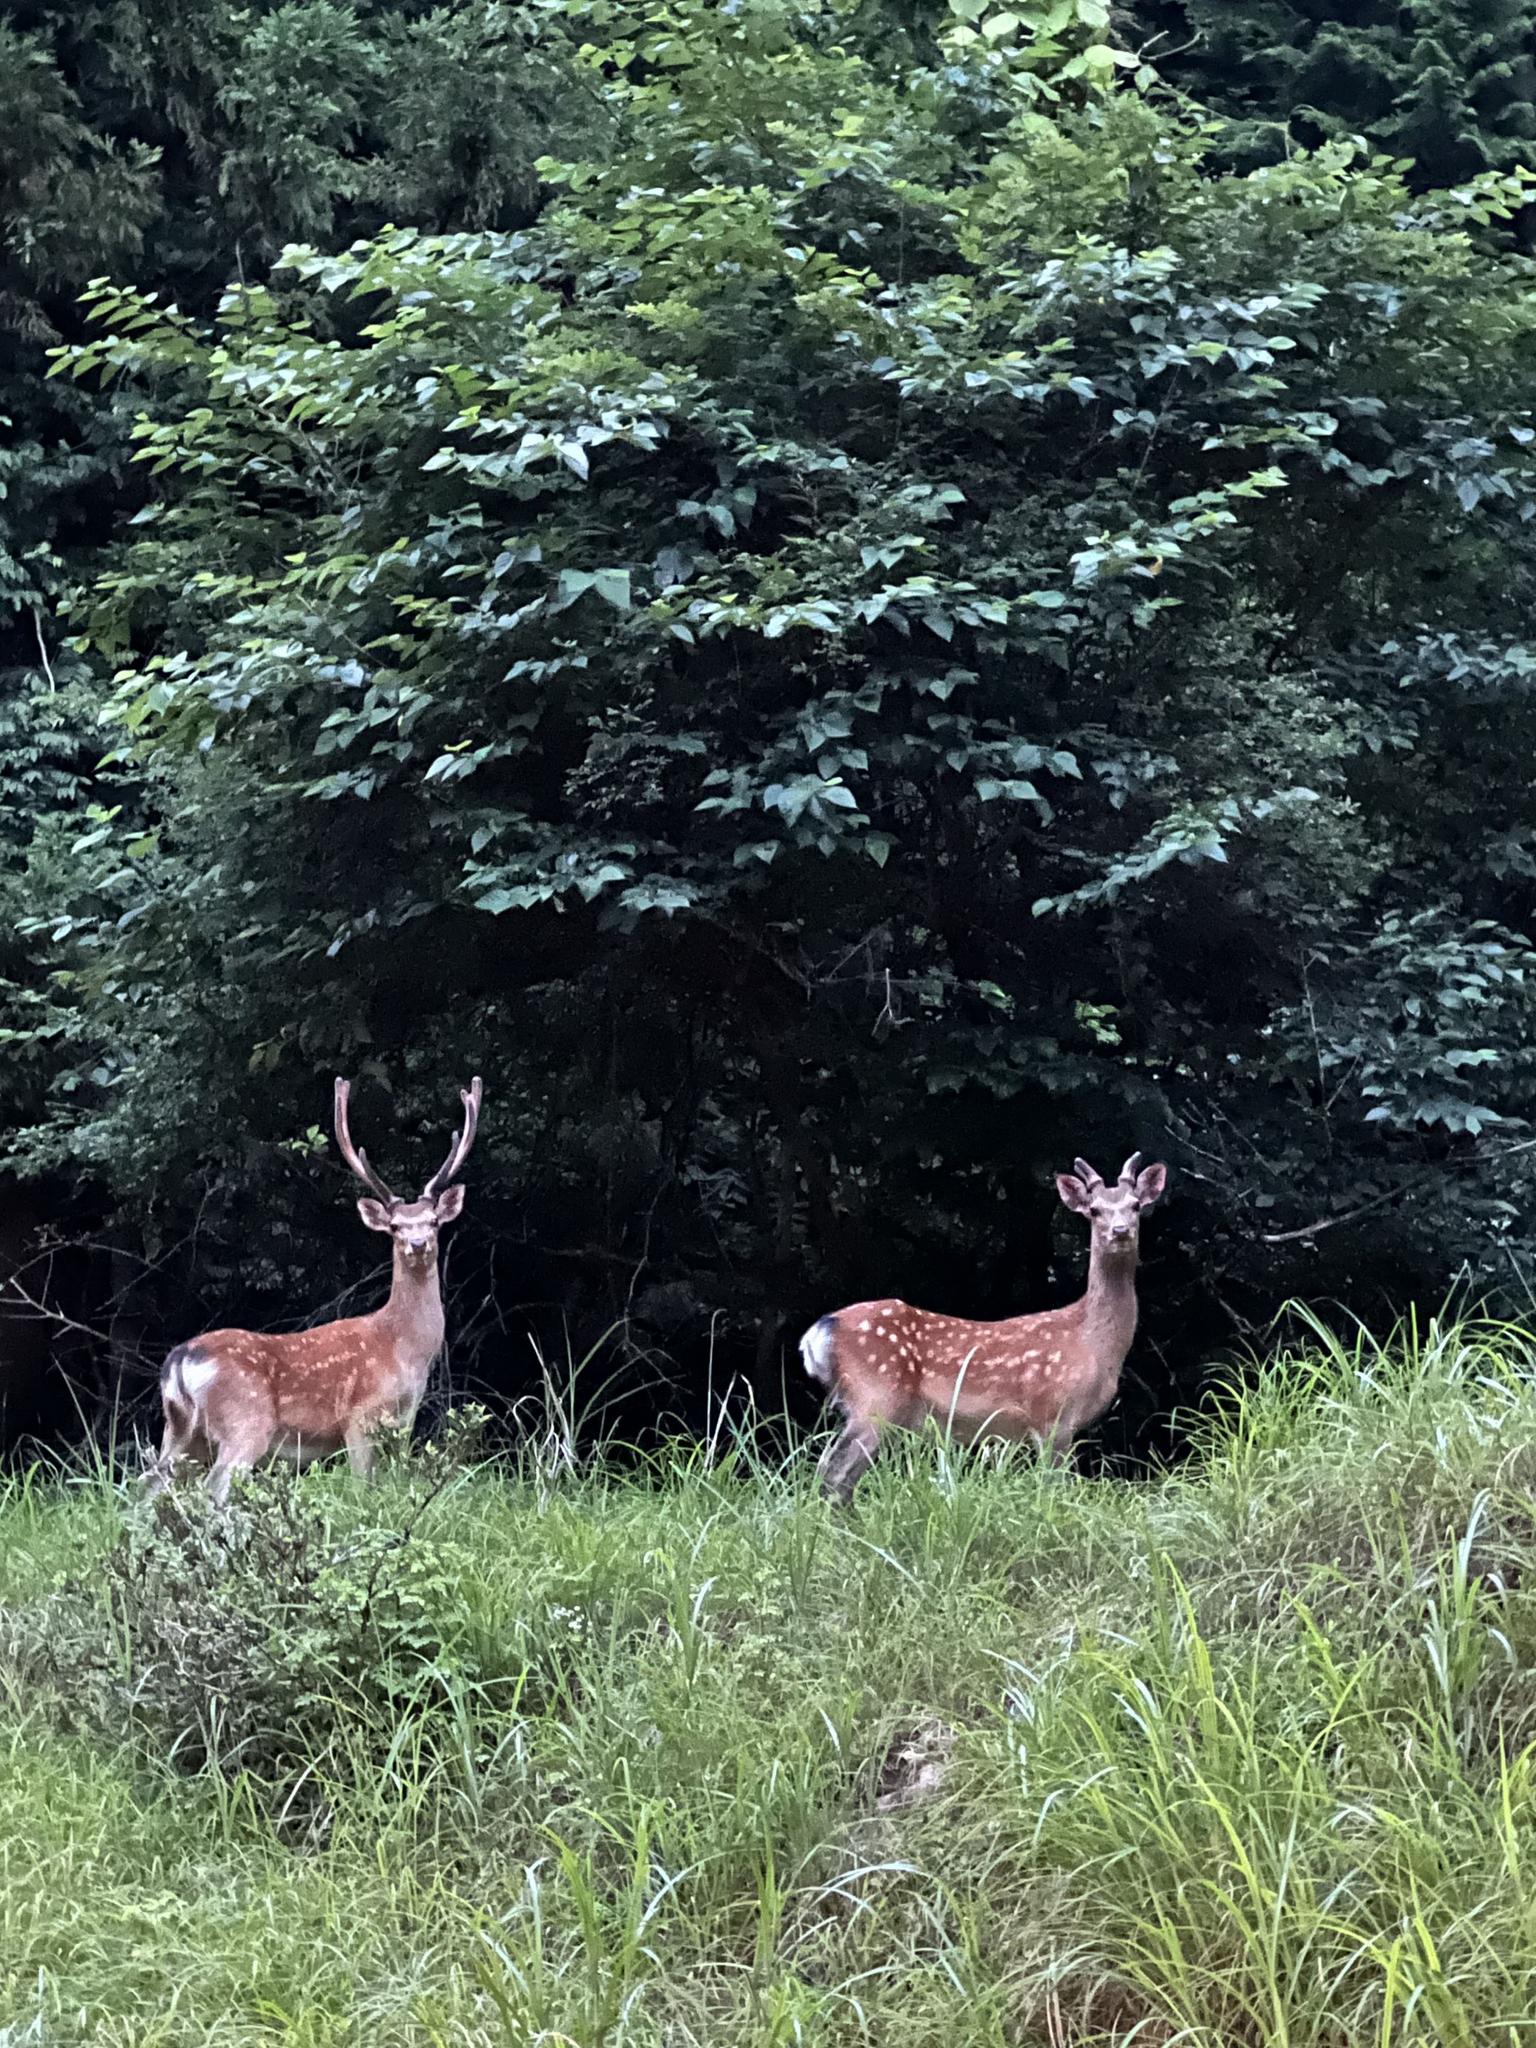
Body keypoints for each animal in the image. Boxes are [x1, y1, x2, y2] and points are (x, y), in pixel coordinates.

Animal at [145, 1073, 481, 1507]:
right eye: (394, 1227)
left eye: (434, 1221)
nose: (418, 1244)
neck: (403, 1348)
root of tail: (180, 1361)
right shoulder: (360, 1417)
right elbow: (362, 1487)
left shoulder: (404, 1424)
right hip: (244, 1423)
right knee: (213, 1489)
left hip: (181, 1431)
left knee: (147, 1487)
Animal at [806, 1155, 1163, 1507]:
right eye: (1094, 1210)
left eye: (1135, 1205)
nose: (1120, 1231)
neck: (1093, 1345)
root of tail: (818, 1333)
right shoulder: (1052, 1415)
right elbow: (1054, 1488)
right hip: (876, 1397)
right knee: (834, 1472)